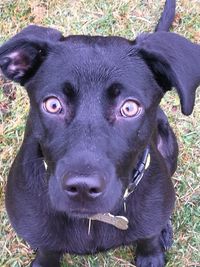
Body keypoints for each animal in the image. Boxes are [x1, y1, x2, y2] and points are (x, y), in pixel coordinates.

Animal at [0, 0, 200, 267]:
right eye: (52, 105)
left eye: (129, 108)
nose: (83, 188)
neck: (93, 221)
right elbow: (47, 250)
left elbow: (148, 237)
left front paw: (152, 252)